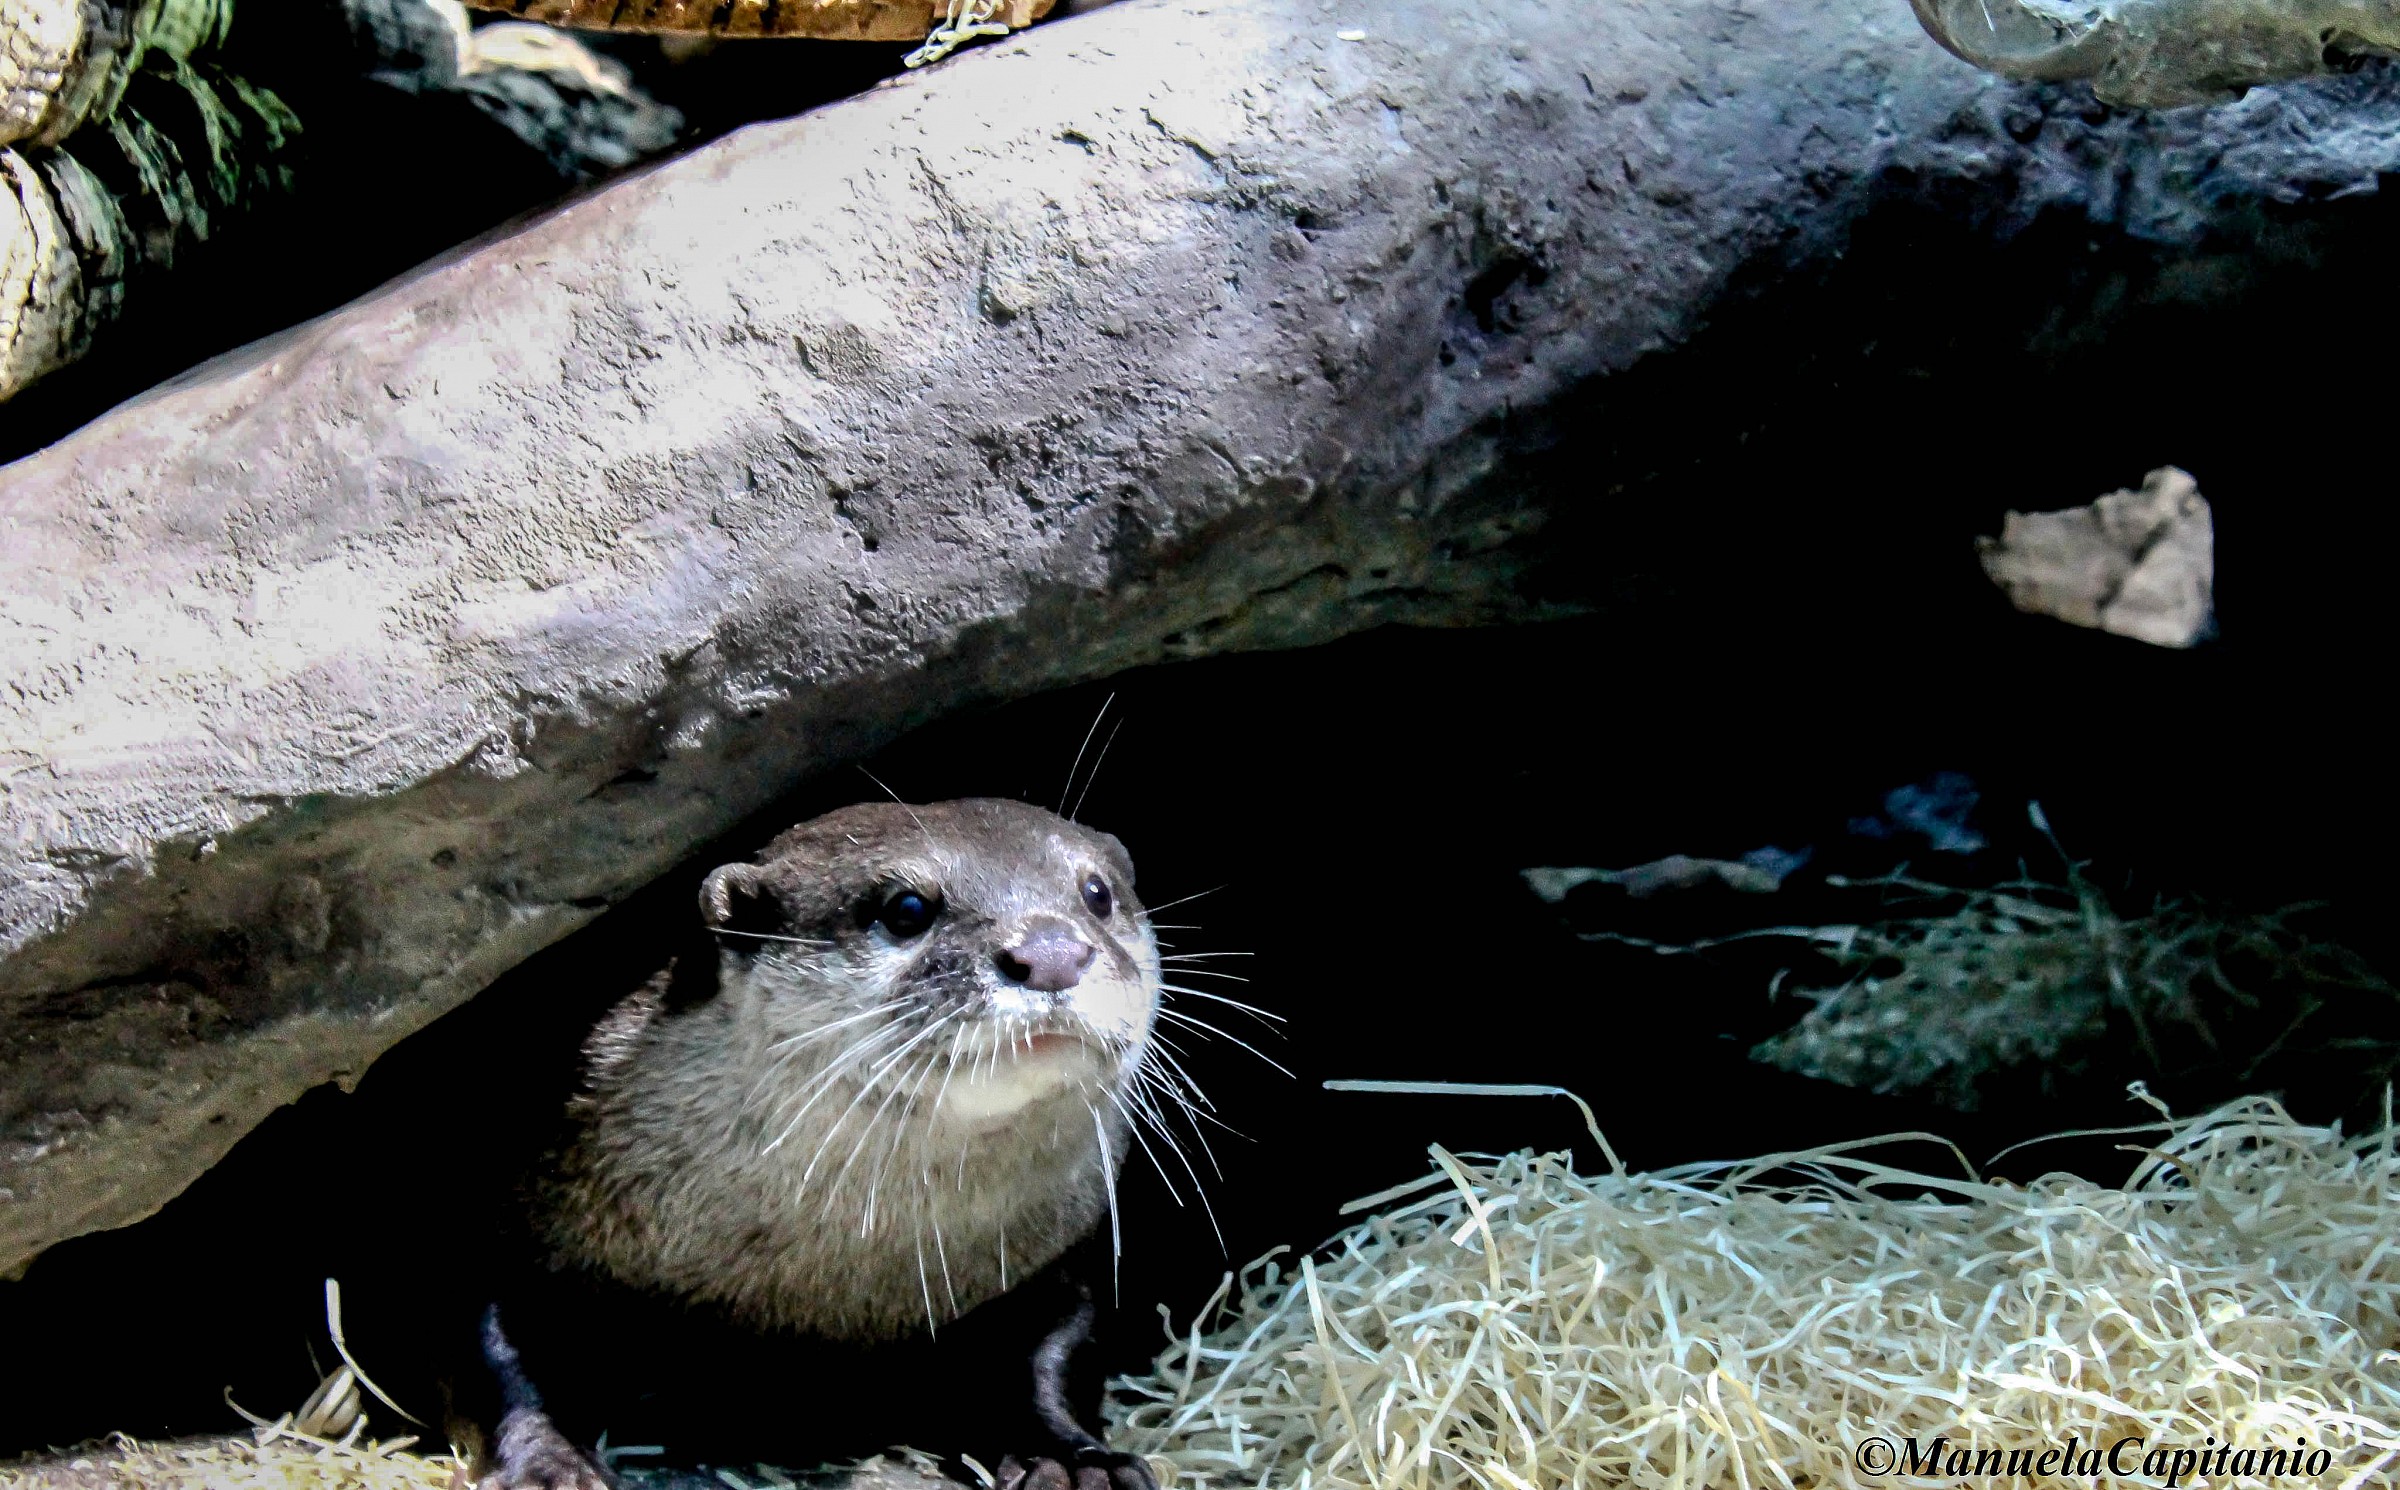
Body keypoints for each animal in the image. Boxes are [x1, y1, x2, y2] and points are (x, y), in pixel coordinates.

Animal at [463, 799, 1167, 1490]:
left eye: (1098, 894)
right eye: (906, 909)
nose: (1052, 952)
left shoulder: (1048, 1263)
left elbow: (1057, 1347)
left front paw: (1077, 1459)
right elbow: (495, 1346)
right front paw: (547, 1461)